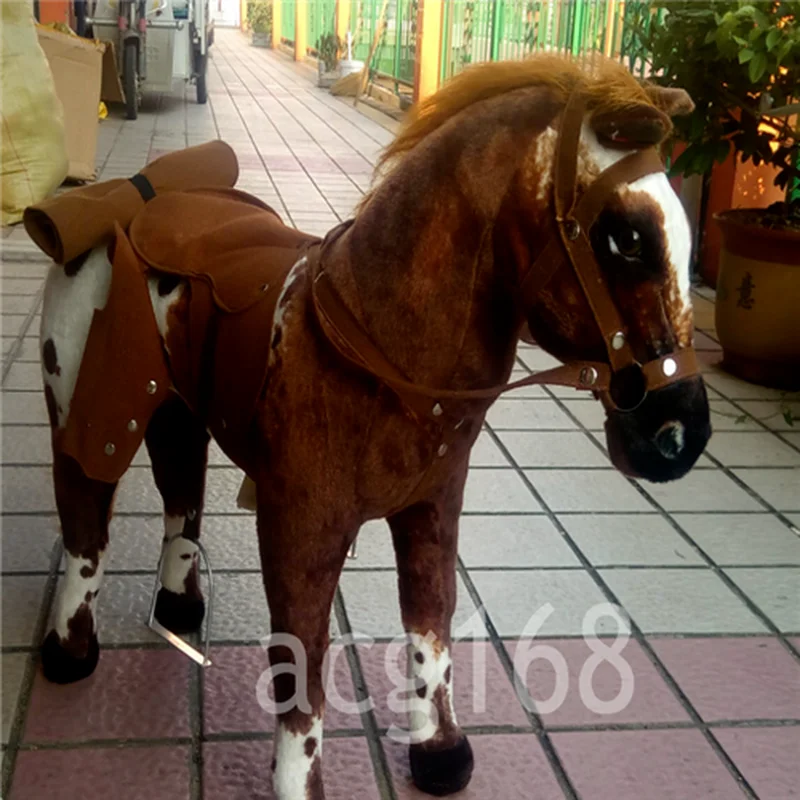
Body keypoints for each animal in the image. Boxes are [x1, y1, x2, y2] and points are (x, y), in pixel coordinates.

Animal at [36, 53, 710, 799]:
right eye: (625, 238)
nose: (682, 435)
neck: (378, 347)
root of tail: (135, 195)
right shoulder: (301, 528)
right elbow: (302, 658)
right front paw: (298, 785)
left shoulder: (432, 507)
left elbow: (431, 618)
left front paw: (441, 753)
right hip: (85, 406)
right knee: (84, 521)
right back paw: (69, 651)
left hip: (179, 408)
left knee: (180, 492)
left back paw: (181, 607)